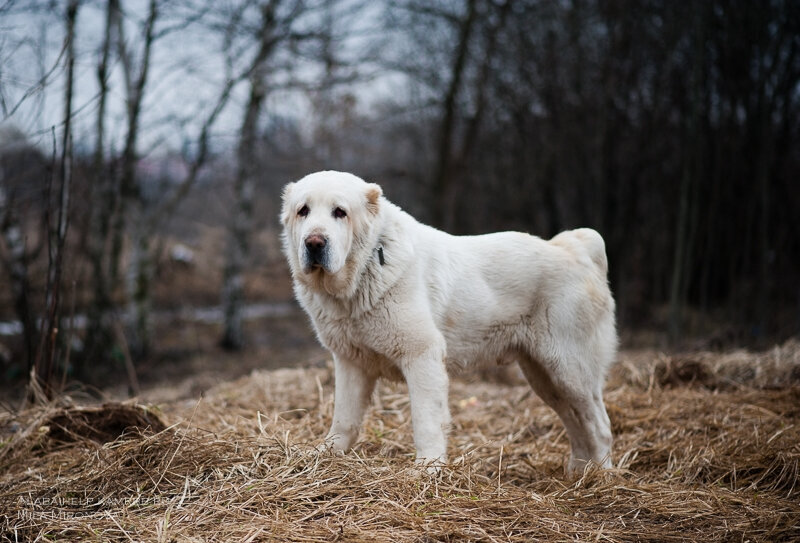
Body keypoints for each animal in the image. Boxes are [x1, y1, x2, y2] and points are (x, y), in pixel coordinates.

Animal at [282, 171, 620, 476]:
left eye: (340, 212)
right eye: (303, 211)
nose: (314, 242)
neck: (364, 269)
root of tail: (578, 251)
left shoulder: (422, 355)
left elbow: (425, 419)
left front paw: (427, 469)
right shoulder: (351, 362)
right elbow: (344, 418)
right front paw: (325, 454)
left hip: (570, 369)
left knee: (599, 425)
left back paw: (601, 480)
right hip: (544, 377)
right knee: (577, 423)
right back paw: (578, 474)